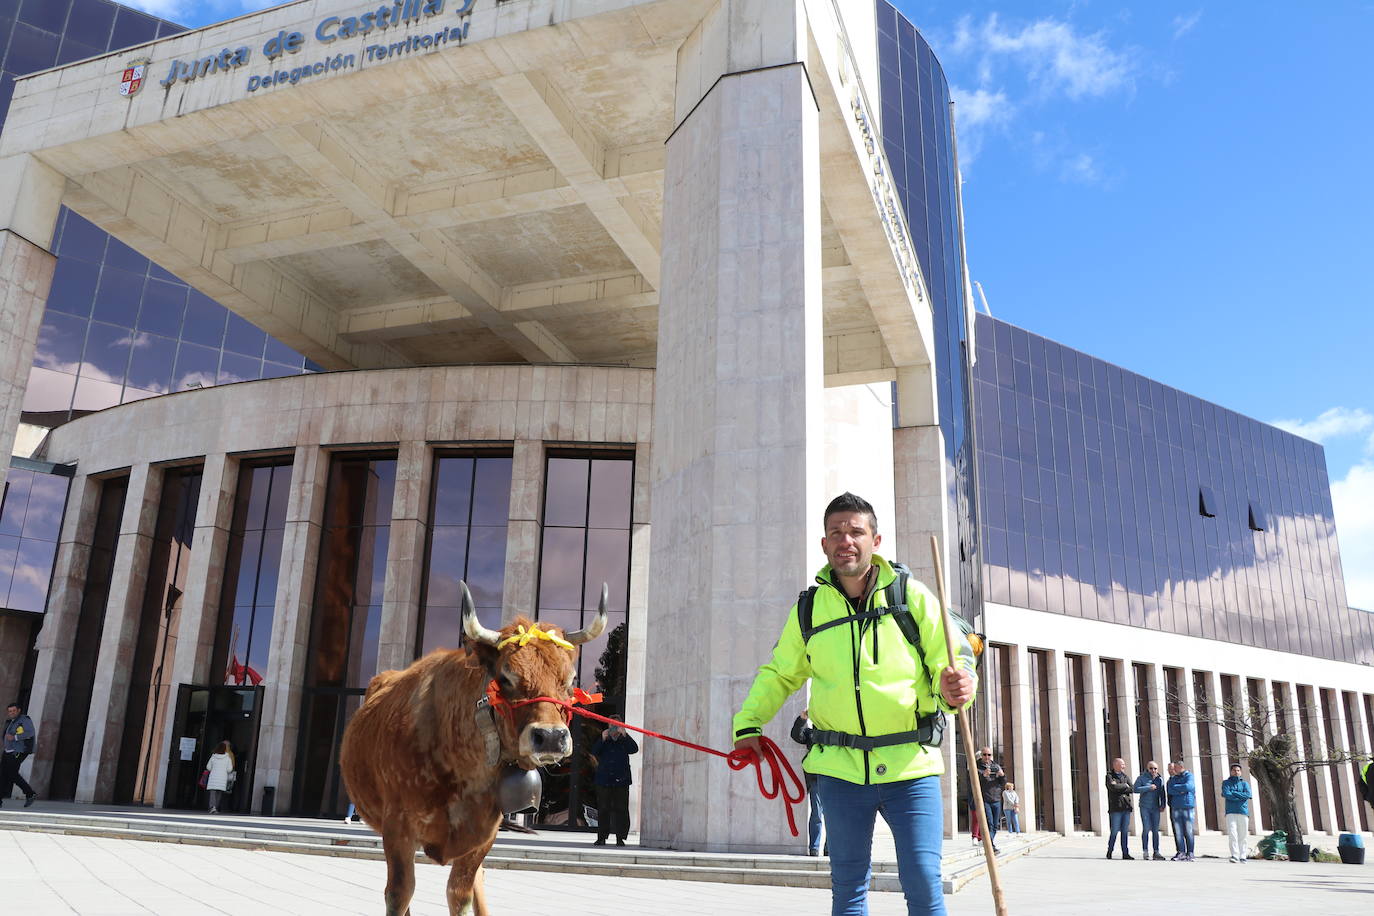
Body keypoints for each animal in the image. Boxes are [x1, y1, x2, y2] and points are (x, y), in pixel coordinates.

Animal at [338, 585, 601, 911]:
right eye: (505, 677)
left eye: (570, 679)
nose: (551, 736)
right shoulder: (397, 828)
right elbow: (399, 893)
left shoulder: (484, 834)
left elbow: (460, 893)